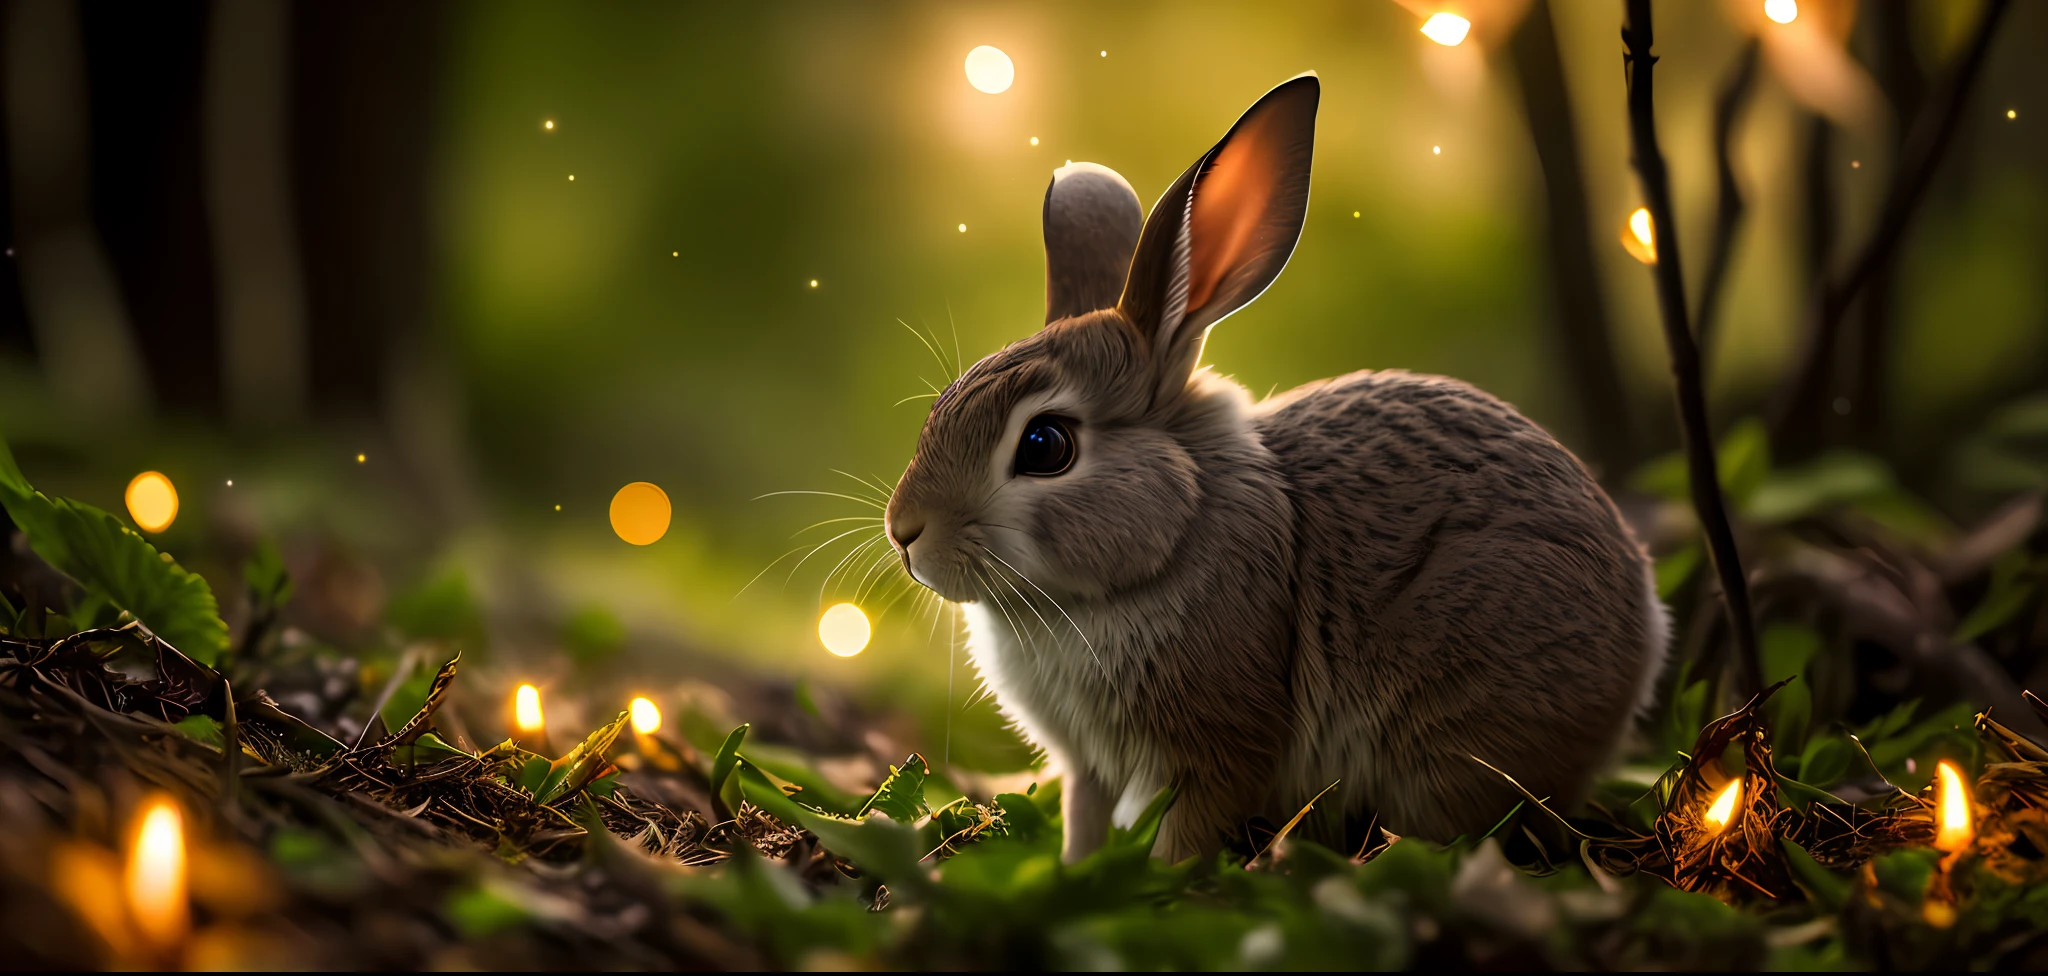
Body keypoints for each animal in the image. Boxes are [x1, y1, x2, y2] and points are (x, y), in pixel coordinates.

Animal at [880, 72, 1662, 859]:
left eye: (1045, 445)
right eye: (943, 403)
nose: (904, 532)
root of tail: (1645, 635)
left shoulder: (1215, 750)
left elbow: (1185, 829)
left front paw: (1165, 877)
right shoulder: (1088, 768)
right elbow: (1086, 822)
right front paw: (1075, 871)